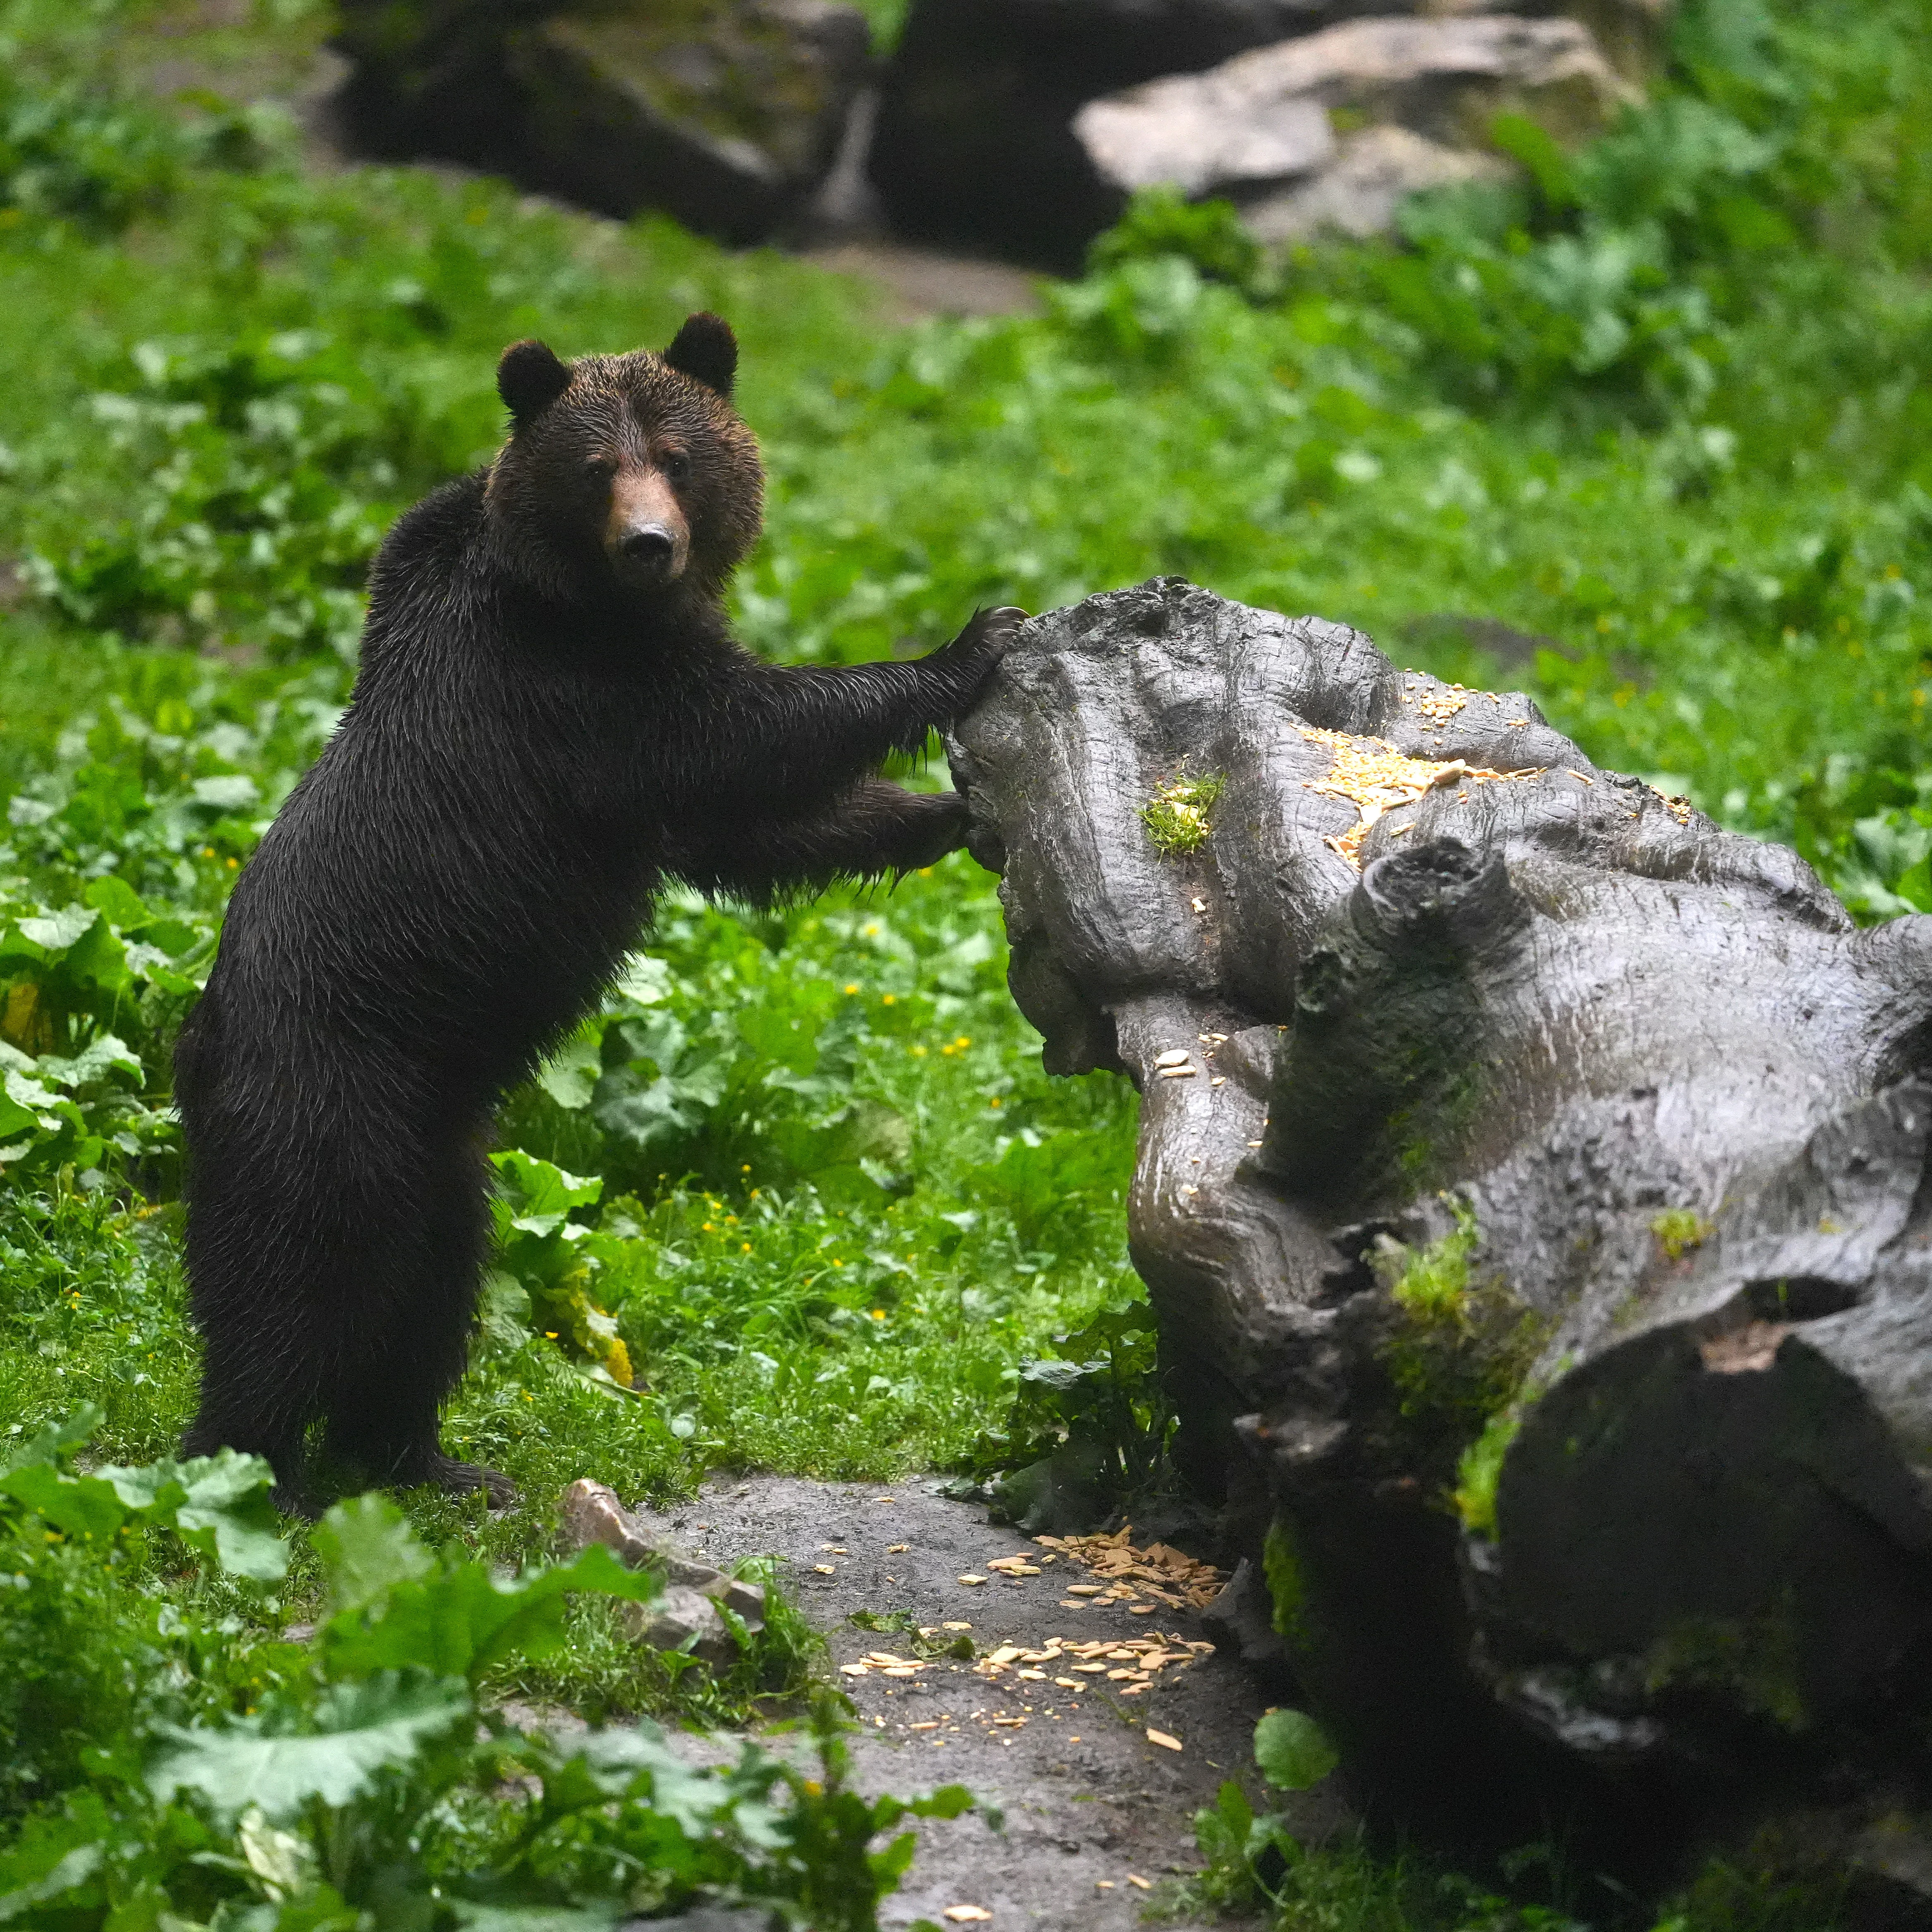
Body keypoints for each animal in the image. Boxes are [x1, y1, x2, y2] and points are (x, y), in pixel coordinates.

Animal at [173, 312, 1019, 1511]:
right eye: (595, 469)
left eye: (674, 455)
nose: (651, 544)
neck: (589, 597)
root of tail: (193, 1047)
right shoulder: (575, 699)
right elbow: (746, 732)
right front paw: (965, 645)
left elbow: (745, 833)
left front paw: (947, 815)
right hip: (329, 1099)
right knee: (292, 1286)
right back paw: (251, 1474)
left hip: (445, 1153)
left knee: (431, 1295)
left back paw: (433, 1459)